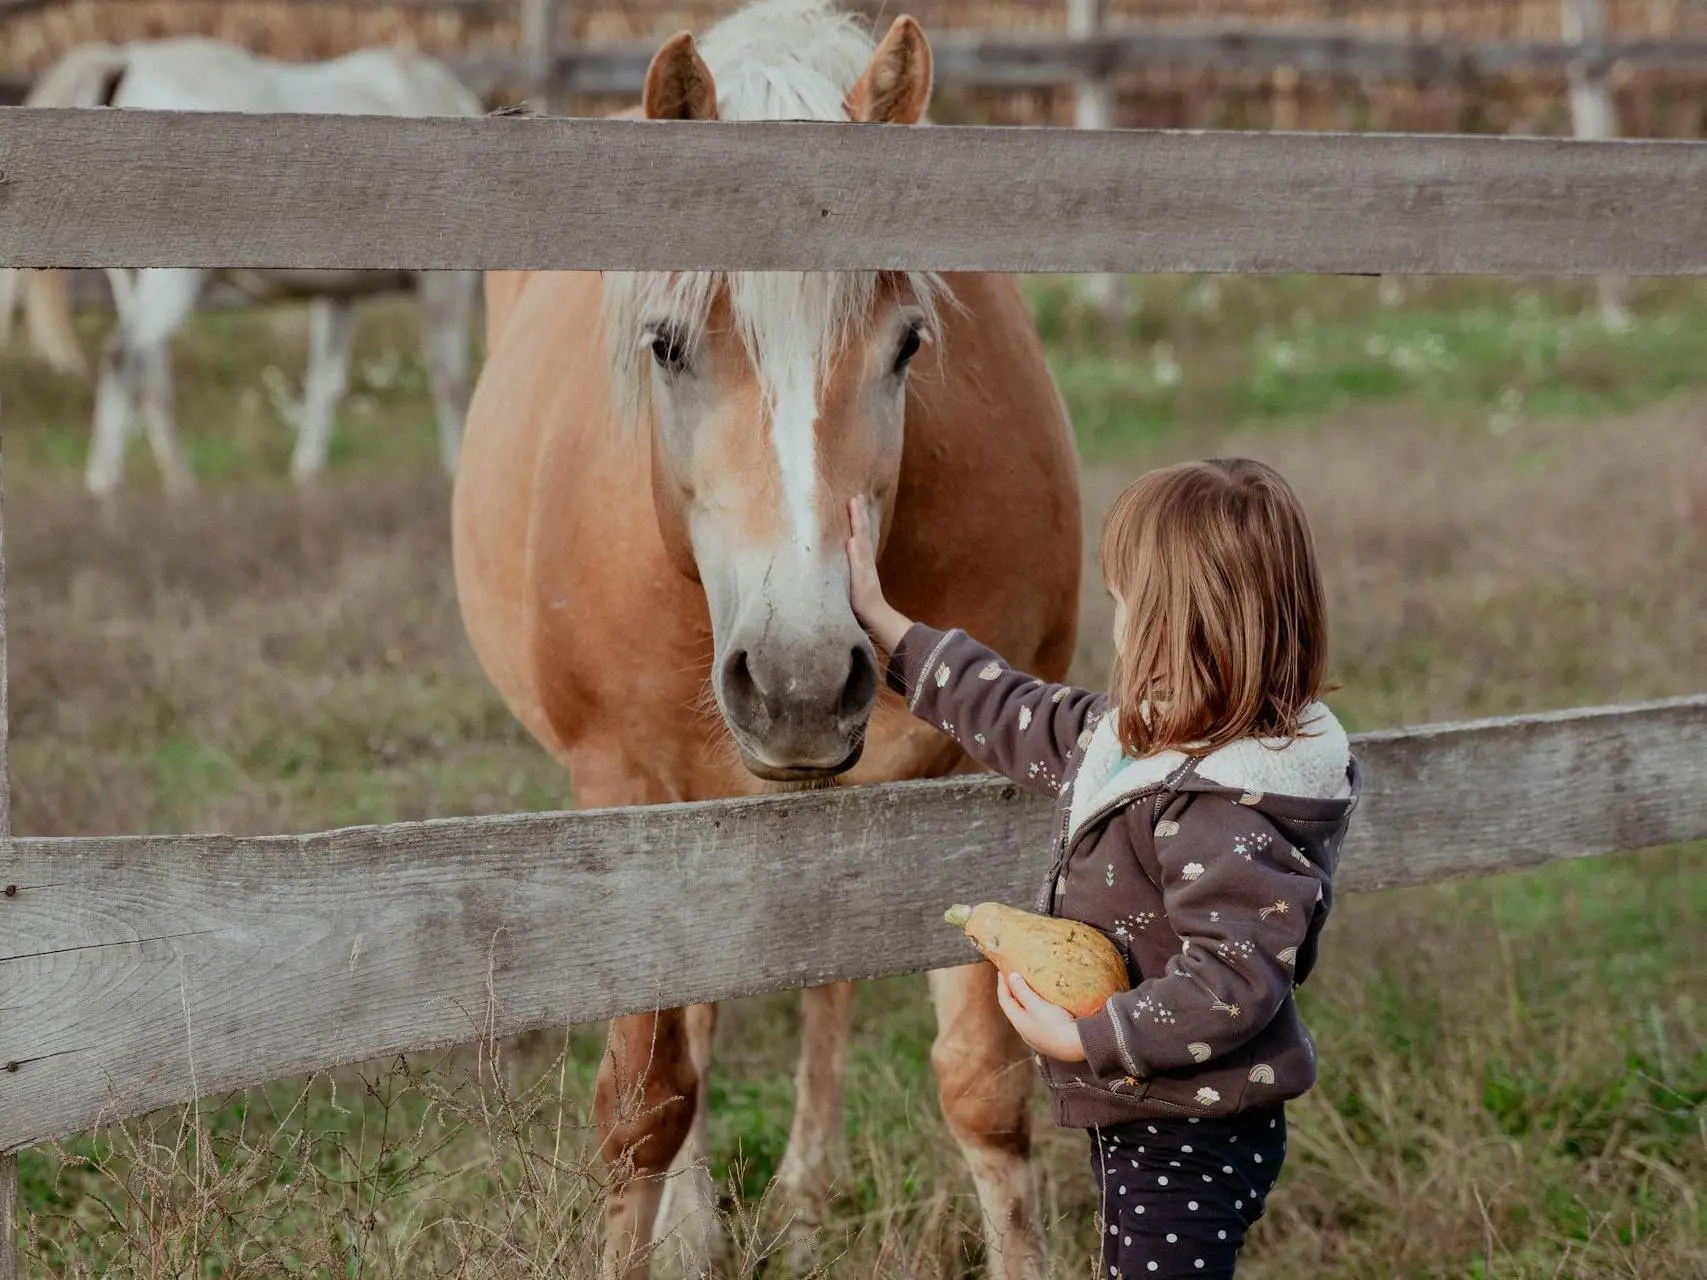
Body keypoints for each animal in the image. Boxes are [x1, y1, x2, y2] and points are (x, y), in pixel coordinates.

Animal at [1, 38, 481, 491]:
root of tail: (129, 60)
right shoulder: (443, 289)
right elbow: (451, 382)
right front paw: (455, 469)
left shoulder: (339, 294)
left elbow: (325, 384)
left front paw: (307, 473)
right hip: (172, 280)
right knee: (123, 356)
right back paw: (105, 484)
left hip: (132, 279)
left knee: (149, 370)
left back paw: (180, 482)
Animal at [454, 5, 1078, 1276]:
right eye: (664, 343)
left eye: (910, 343)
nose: (798, 681)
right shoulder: (623, 795)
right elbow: (644, 1102)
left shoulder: (970, 783)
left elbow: (984, 1089)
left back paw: (803, 1189)